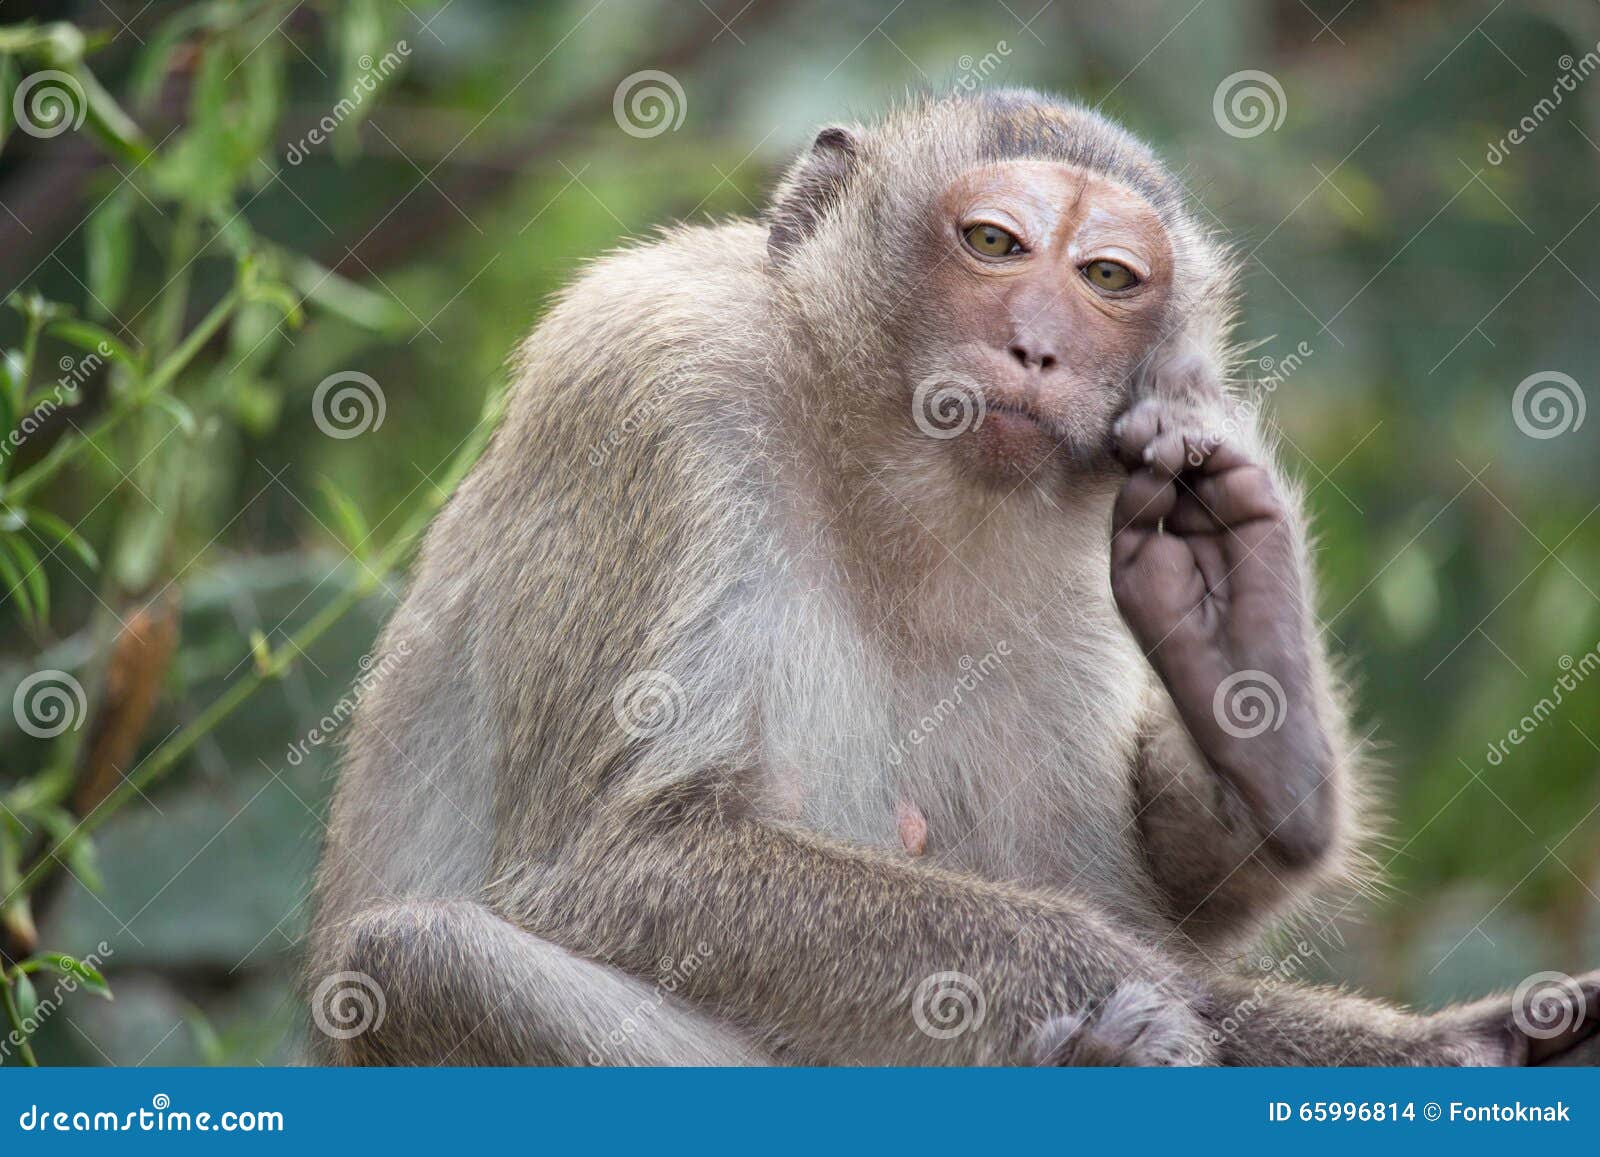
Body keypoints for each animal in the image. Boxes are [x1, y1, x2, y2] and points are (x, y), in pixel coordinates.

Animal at [302, 88, 1600, 1068]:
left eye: (1108, 276)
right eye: (992, 244)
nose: (1038, 345)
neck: (878, 471)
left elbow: (1165, 889)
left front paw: (1238, 643)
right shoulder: (650, 384)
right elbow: (609, 857)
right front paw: (1170, 1002)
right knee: (414, 960)